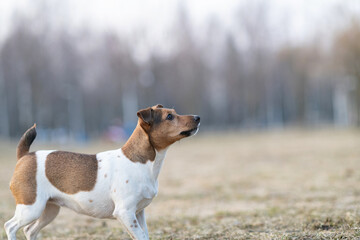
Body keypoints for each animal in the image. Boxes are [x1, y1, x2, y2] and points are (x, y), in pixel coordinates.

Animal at [3, 105, 200, 240]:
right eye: (169, 116)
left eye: (174, 112)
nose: (197, 117)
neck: (140, 162)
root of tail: (25, 155)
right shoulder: (125, 213)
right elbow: (141, 236)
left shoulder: (138, 213)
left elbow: (145, 236)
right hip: (31, 208)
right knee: (10, 226)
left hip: (48, 211)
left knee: (29, 230)